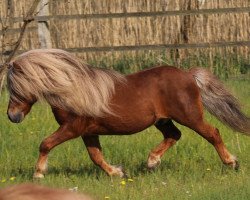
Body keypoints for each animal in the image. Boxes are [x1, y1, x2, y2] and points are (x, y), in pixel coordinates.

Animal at [6, 49, 249, 177]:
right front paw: (116, 173)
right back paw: (152, 162)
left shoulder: (72, 128)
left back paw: (231, 163)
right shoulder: (88, 131)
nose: (12, 117)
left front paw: (38, 173)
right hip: (162, 120)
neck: (71, 91)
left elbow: (45, 143)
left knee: (213, 133)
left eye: (16, 88)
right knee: (174, 135)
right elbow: (96, 156)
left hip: (191, 117)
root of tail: (188, 75)